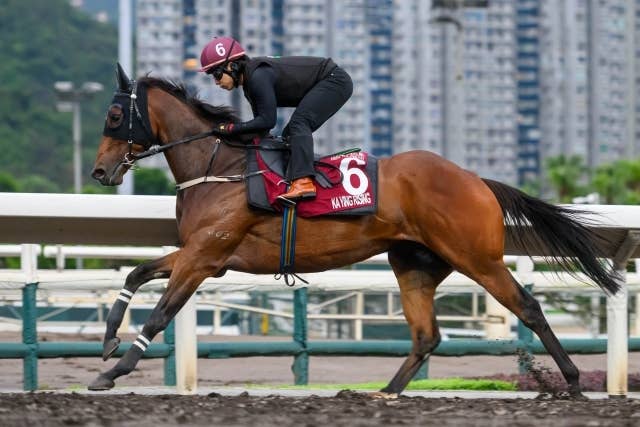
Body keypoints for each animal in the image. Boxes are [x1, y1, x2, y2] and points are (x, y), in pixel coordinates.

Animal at [88, 64, 620, 397]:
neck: (219, 168)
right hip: (414, 265)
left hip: (478, 258)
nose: (99, 172)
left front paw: (113, 372)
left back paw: (573, 383)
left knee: (527, 307)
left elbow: (160, 315)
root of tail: (475, 179)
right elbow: (135, 275)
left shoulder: (203, 259)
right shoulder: (200, 254)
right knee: (426, 335)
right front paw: (109, 339)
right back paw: (383, 392)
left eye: (114, 115)